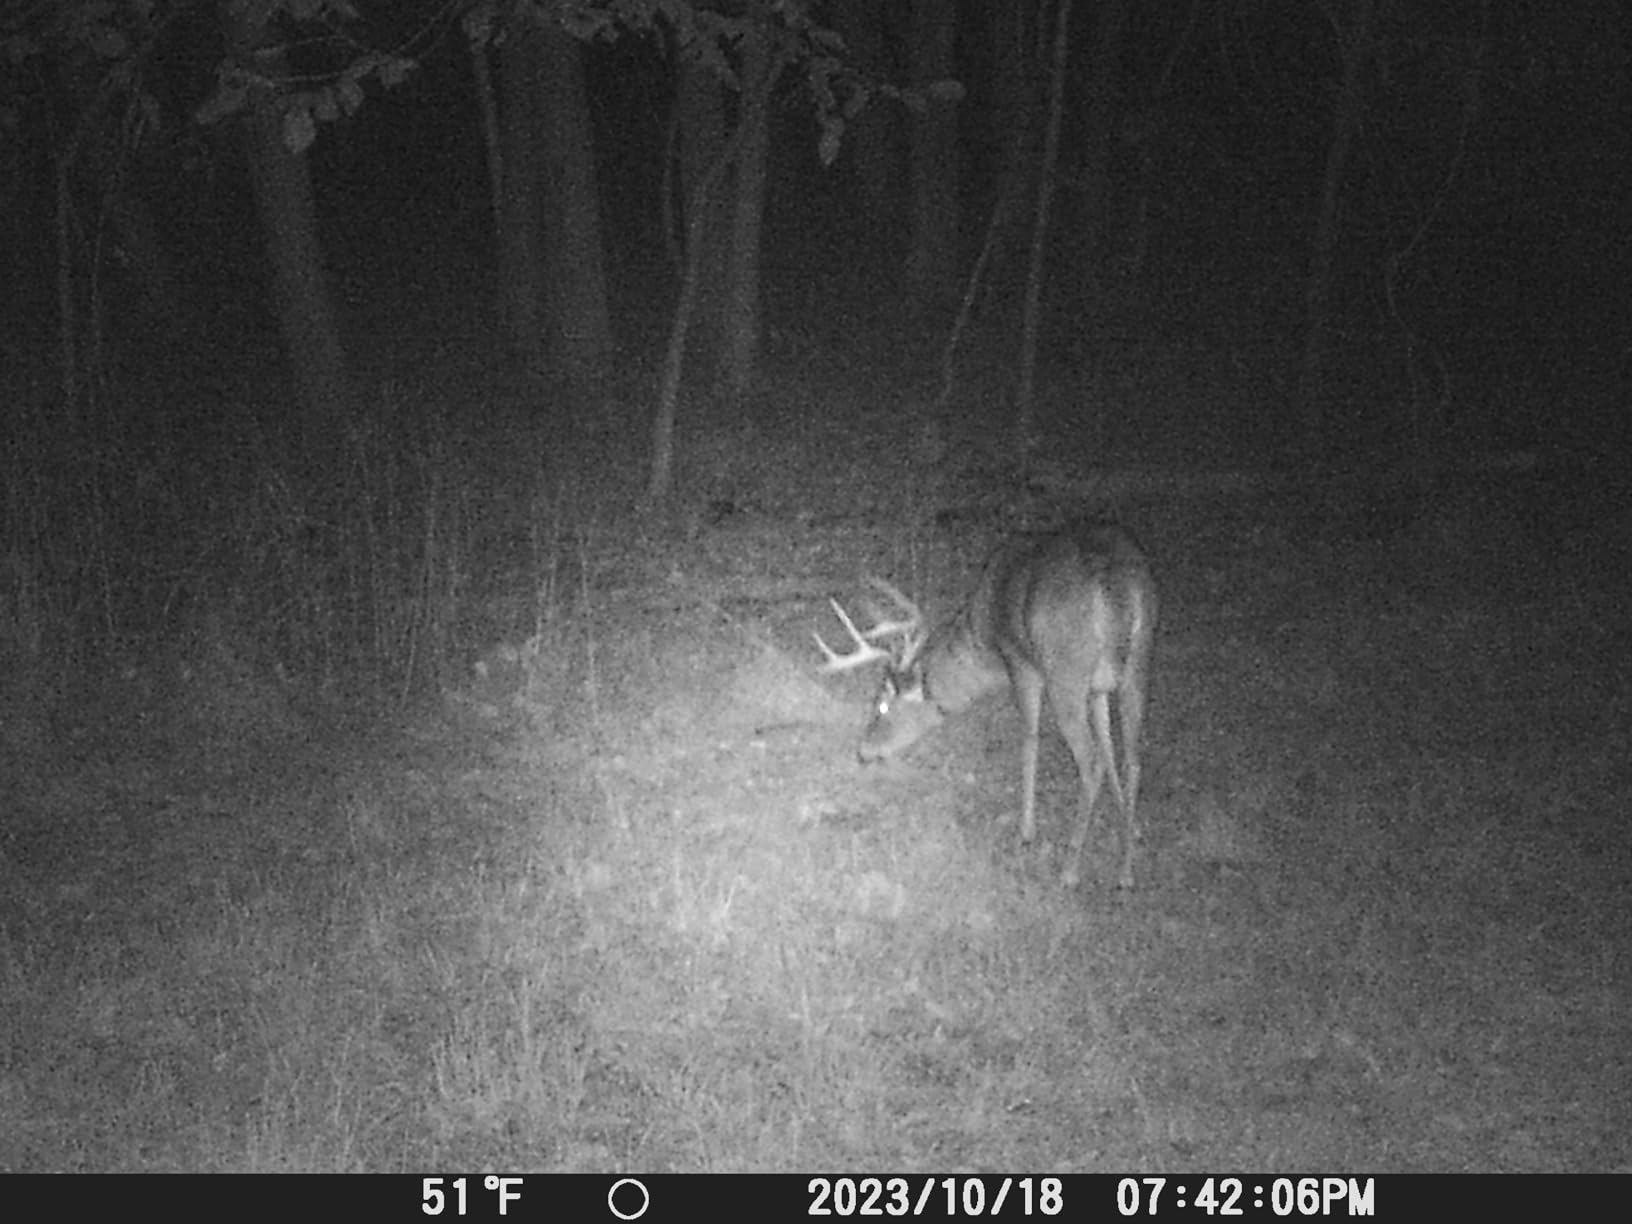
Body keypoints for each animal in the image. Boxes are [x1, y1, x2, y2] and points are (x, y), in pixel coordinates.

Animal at [816, 524, 1157, 890]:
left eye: (881, 706)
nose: (863, 751)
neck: (985, 638)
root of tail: (1115, 587)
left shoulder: (1021, 662)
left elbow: (1030, 739)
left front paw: (1026, 830)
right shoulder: (1097, 688)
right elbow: (1110, 748)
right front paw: (1128, 825)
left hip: (1066, 670)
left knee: (1089, 761)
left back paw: (1070, 869)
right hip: (1138, 661)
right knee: (1133, 758)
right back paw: (1125, 871)